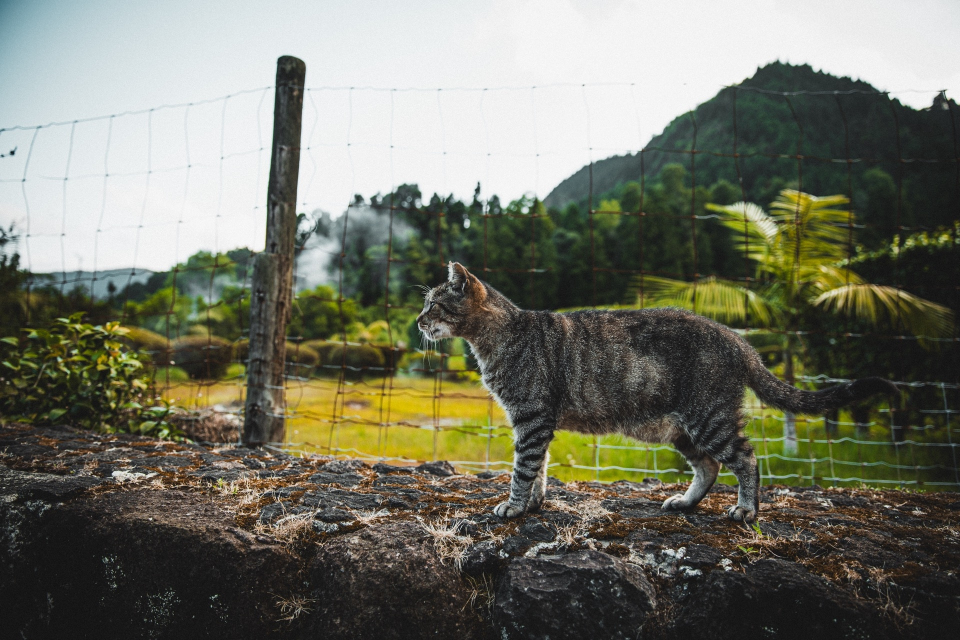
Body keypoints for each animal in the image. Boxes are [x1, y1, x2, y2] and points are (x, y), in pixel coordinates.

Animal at [416, 262, 896, 524]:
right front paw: (533, 504)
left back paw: (747, 510)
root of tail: (738, 340)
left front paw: (513, 507)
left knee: (746, 459)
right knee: (709, 467)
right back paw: (685, 502)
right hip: (681, 429)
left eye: (433, 304)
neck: (500, 337)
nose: (418, 321)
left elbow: (523, 468)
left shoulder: (532, 417)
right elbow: (540, 469)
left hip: (708, 417)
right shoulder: (534, 421)